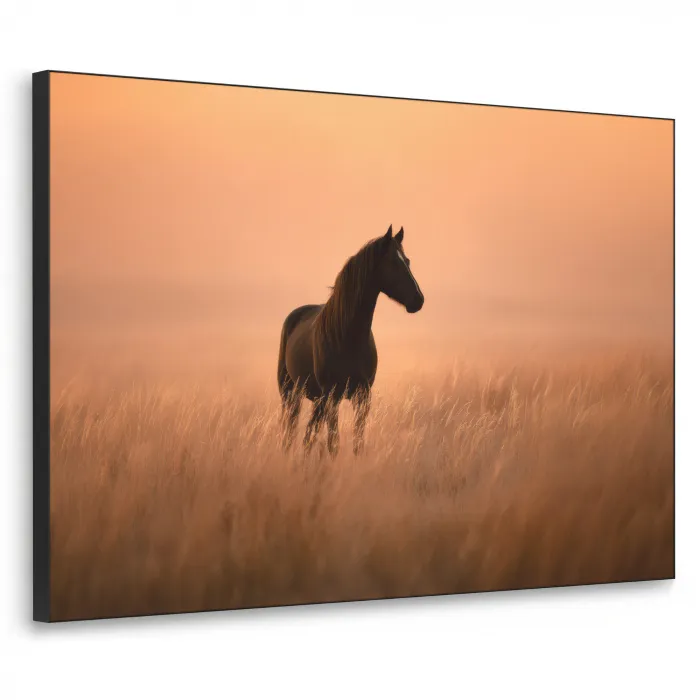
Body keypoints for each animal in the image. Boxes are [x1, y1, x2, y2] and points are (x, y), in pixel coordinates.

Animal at [277, 224, 424, 457]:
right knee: (291, 432)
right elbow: (333, 443)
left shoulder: (362, 396)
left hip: (317, 400)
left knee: (309, 434)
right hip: (290, 393)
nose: (418, 300)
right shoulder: (332, 397)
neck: (348, 337)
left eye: (407, 261)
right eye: (393, 262)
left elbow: (357, 442)